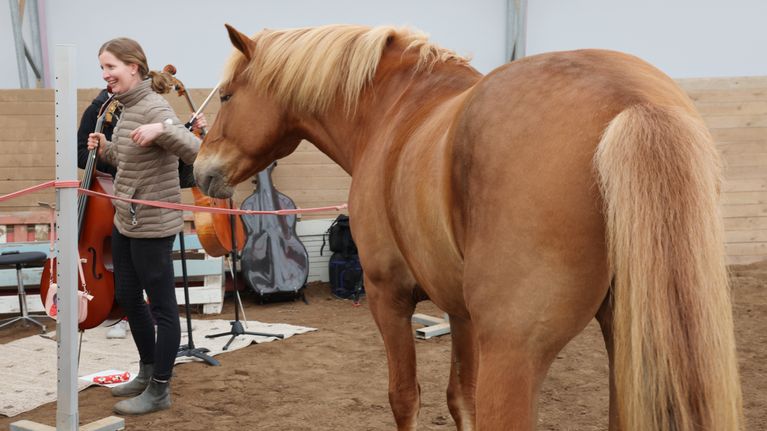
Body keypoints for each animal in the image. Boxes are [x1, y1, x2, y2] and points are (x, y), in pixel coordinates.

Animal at [194, 24, 743, 430]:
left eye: (226, 96)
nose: (200, 170)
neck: (396, 109)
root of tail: (629, 102)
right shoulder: (460, 312)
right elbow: (461, 397)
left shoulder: (387, 297)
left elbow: (405, 397)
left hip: (516, 353)